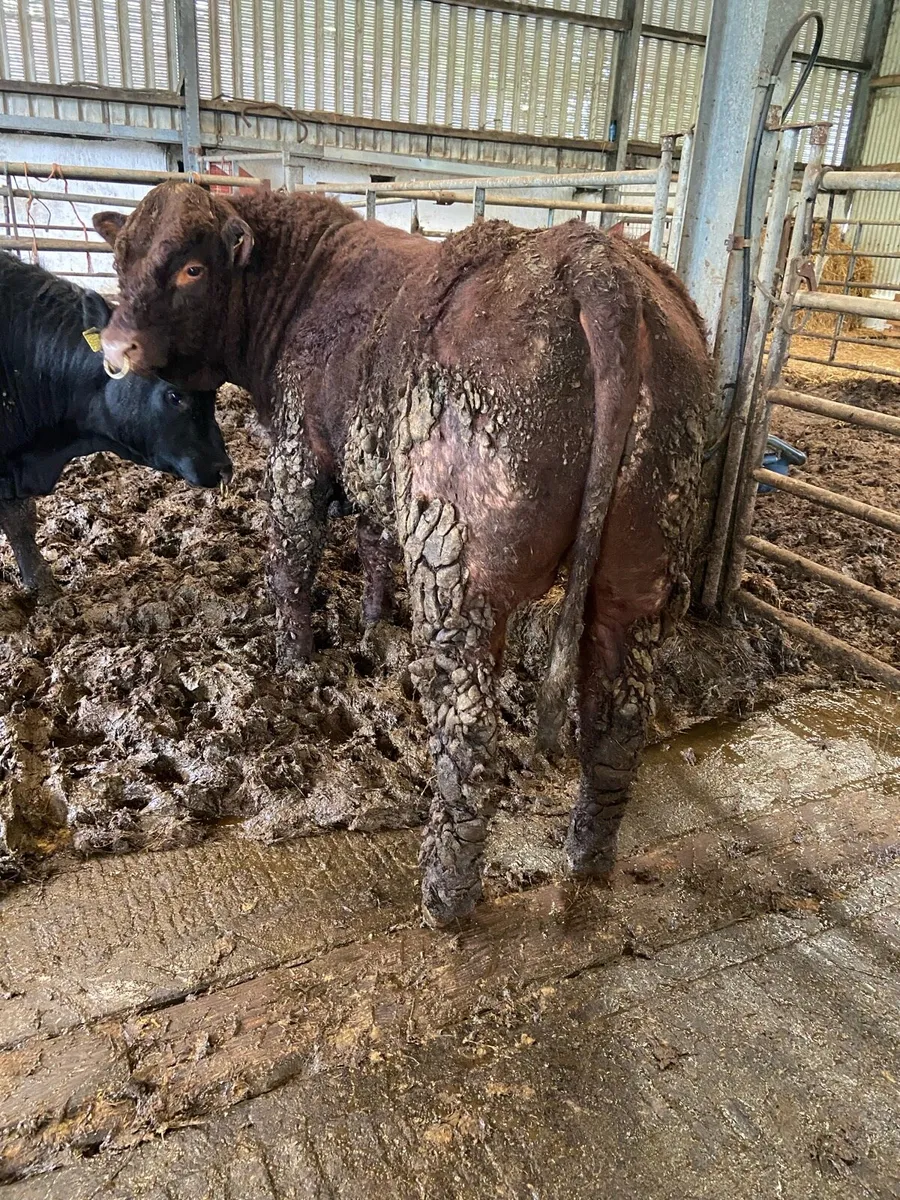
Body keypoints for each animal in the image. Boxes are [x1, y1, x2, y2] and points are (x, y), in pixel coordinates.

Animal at [94, 183, 714, 927]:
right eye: (121, 257)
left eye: (191, 267)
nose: (116, 348)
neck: (304, 284)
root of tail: (593, 259)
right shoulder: (377, 473)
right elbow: (373, 544)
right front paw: (368, 626)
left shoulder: (299, 453)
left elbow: (291, 563)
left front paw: (295, 665)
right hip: (639, 566)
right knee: (616, 722)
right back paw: (586, 859)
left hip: (462, 574)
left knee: (470, 739)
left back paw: (444, 896)